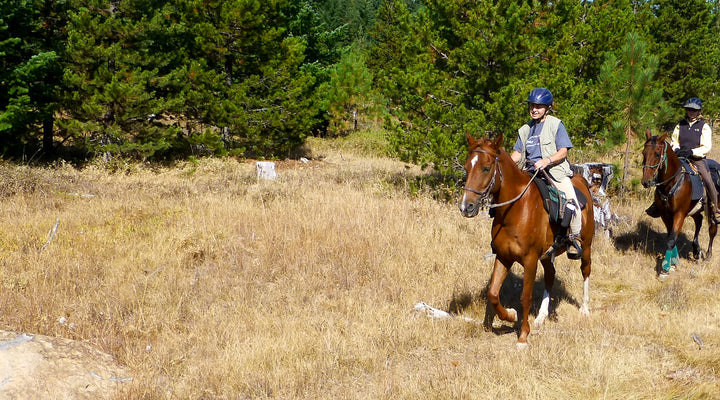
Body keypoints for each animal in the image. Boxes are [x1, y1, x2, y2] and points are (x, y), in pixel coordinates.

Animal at [458, 133, 594, 348]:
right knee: (550, 276)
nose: (466, 207)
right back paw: (541, 316)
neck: (516, 210)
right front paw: (510, 315)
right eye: (466, 167)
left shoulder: (530, 260)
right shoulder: (503, 257)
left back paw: (585, 308)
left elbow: (525, 296)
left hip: (586, 245)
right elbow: (493, 293)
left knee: (585, 270)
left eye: (486, 168)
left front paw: (523, 336)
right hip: (547, 255)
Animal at [640, 131, 717, 274]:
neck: (672, 182)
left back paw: (708, 254)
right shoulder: (665, 214)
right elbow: (671, 235)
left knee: (712, 229)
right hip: (694, 210)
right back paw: (696, 250)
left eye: (657, 154)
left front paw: (665, 267)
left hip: (712, 210)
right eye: (644, 153)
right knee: (699, 220)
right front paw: (674, 260)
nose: (646, 181)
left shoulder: (679, 214)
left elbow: (672, 239)